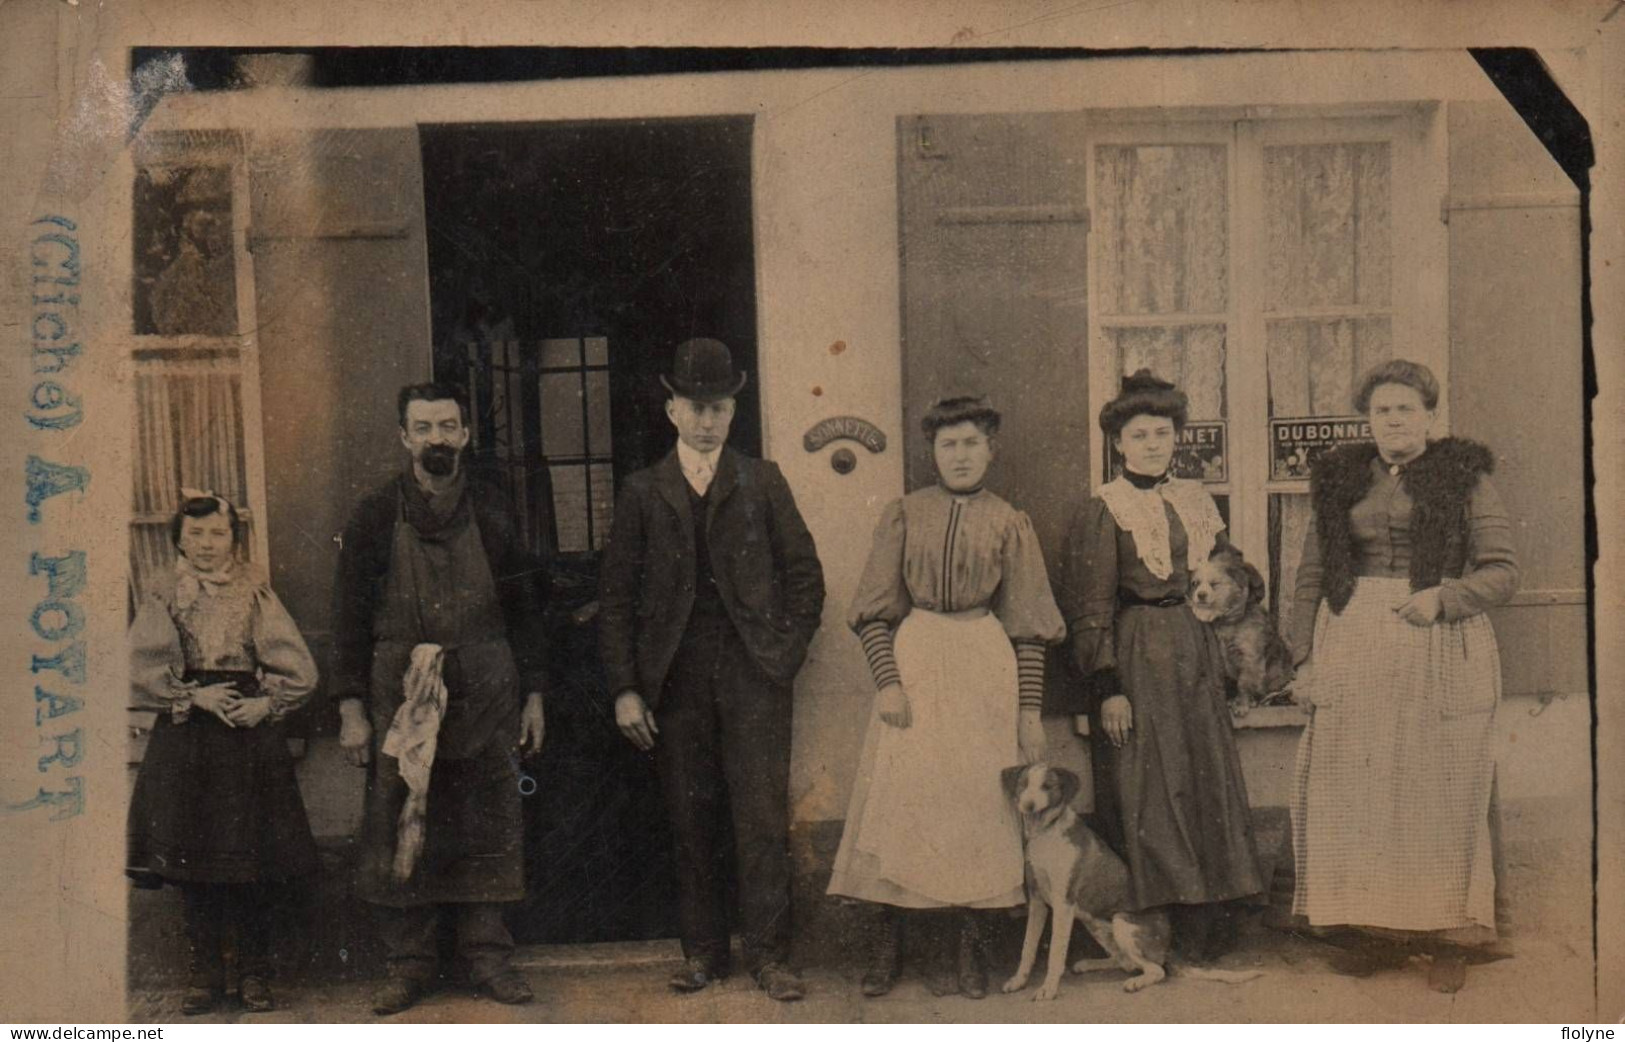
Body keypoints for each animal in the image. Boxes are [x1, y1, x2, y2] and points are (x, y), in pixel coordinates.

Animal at [994, 764, 1261, 1001]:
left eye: (1047, 786)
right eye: (1023, 785)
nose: (1028, 804)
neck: (1045, 834)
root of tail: (1167, 946)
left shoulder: (1063, 904)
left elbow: (1055, 954)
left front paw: (1048, 988)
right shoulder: (1037, 901)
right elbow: (1027, 947)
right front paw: (1019, 981)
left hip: (1122, 922)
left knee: (1155, 969)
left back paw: (1136, 982)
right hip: (1096, 925)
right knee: (1125, 962)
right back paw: (1089, 964)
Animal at [1189, 539, 1300, 712]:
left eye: (1214, 584)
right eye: (1195, 583)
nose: (1200, 595)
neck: (1229, 621)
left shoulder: (1250, 658)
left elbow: (1243, 683)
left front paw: (1241, 704)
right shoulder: (1223, 659)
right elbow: (1231, 681)